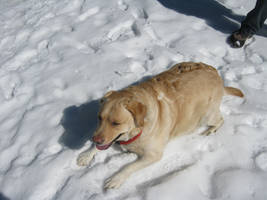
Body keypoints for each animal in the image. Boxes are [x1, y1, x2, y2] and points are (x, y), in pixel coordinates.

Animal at [76, 61, 244, 188]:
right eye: (99, 118)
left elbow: (130, 166)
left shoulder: (153, 155)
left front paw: (116, 178)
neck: (139, 129)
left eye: (116, 123)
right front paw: (86, 154)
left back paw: (210, 130)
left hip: (206, 115)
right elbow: (100, 146)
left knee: (221, 119)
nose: (95, 140)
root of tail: (217, 74)